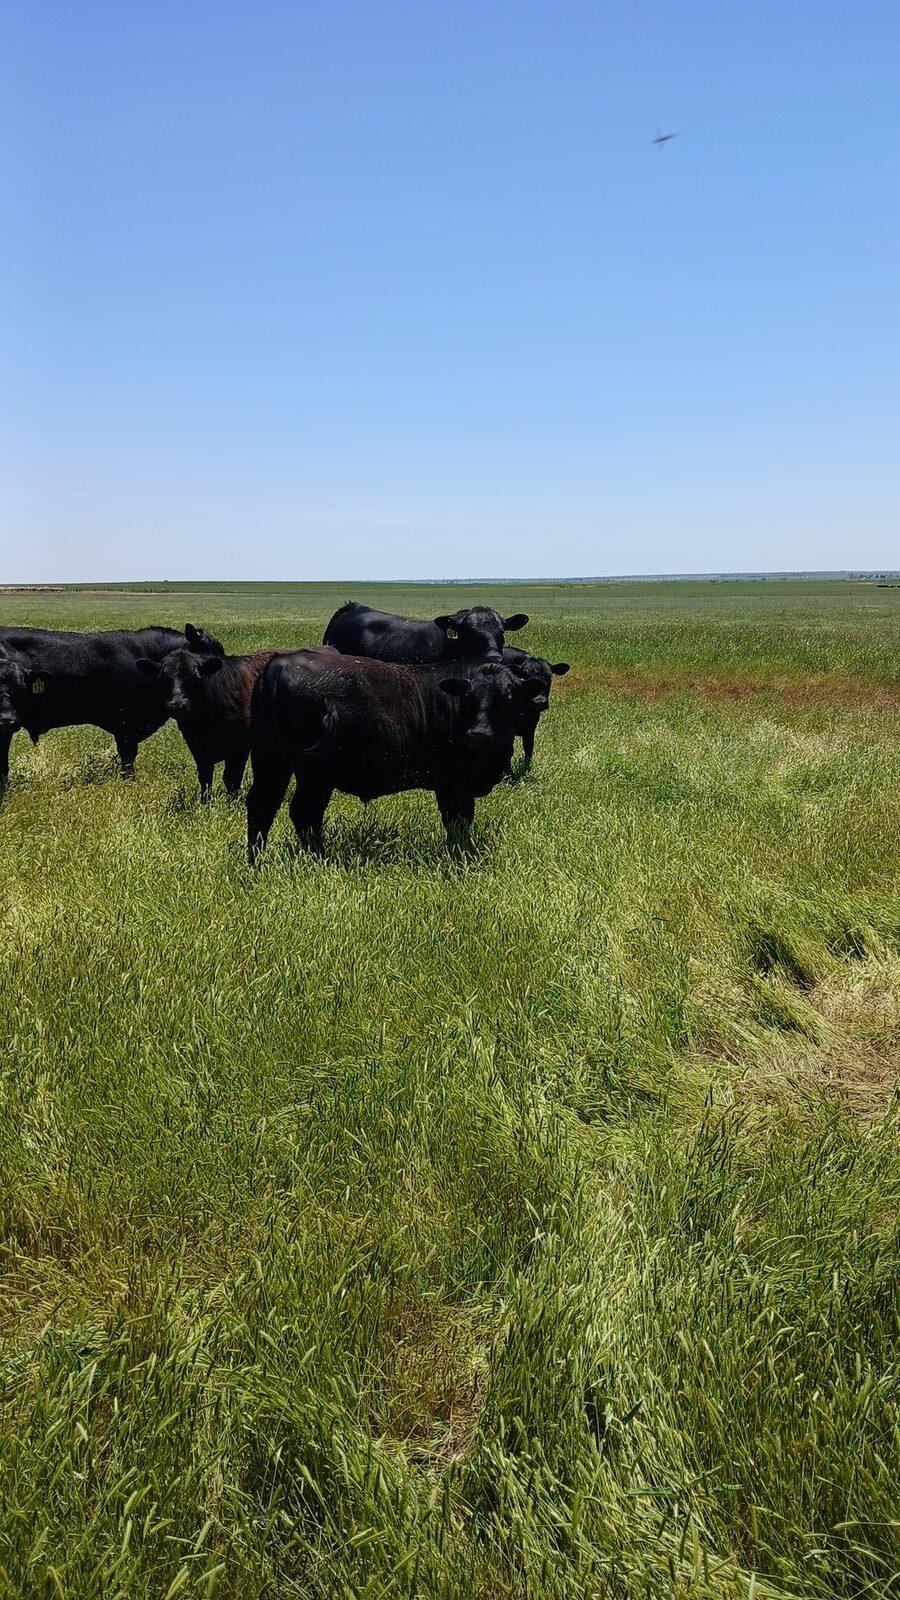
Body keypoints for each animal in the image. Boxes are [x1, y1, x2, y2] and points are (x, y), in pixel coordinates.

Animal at [136, 647, 282, 800]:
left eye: (196, 677)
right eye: (163, 678)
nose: (177, 705)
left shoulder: (241, 744)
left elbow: (232, 777)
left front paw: (233, 800)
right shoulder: (197, 744)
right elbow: (205, 776)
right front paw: (205, 800)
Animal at [246, 647, 546, 861]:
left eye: (508, 697)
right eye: (469, 696)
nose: (478, 734)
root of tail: (277, 666)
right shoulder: (453, 784)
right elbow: (457, 822)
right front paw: (459, 856)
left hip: (272, 760)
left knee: (263, 804)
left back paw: (256, 859)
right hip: (313, 772)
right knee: (303, 813)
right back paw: (320, 857)